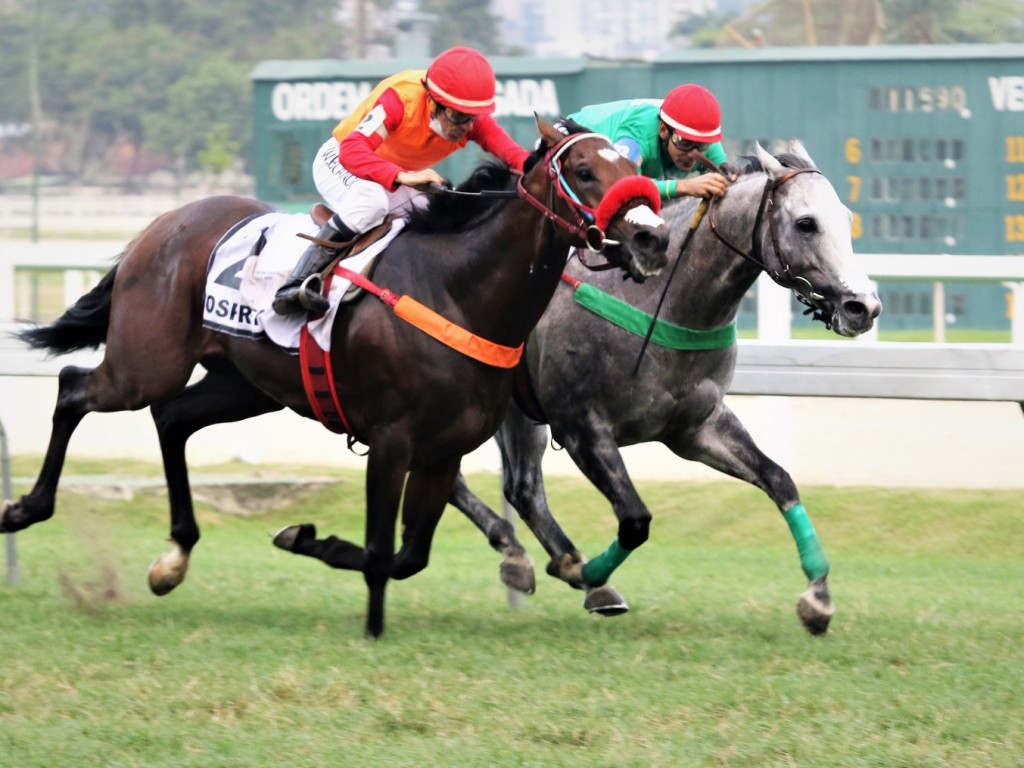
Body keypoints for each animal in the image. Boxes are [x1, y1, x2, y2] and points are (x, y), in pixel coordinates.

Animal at [2, 118, 671, 638]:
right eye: (583, 170)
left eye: (629, 165)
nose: (652, 236)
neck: (457, 291)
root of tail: (163, 223)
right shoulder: (393, 440)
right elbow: (380, 551)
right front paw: (371, 626)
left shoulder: (443, 451)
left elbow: (408, 555)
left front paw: (306, 539)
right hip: (146, 364)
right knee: (74, 388)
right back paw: (25, 509)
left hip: (244, 384)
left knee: (172, 419)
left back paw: (174, 556)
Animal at [452, 141, 884, 634]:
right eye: (806, 223)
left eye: (845, 216)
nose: (863, 306)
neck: (659, 300)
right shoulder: (582, 428)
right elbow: (636, 520)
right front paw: (590, 574)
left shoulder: (696, 428)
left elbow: (780, 480)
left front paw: (818, 596)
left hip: (516, 411)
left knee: (522, 487)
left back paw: (530, 558)